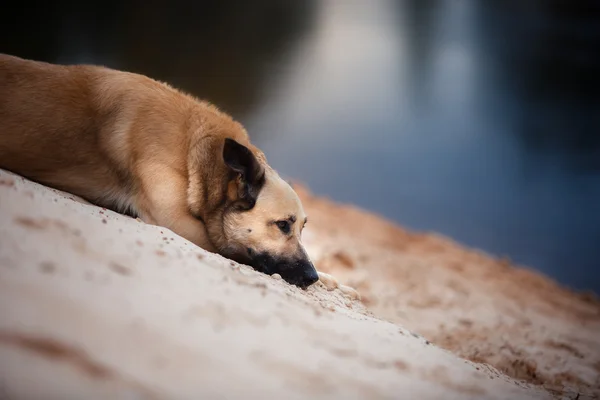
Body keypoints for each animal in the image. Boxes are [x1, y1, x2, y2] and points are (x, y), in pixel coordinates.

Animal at [0, 54, 322, 290]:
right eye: (283, 225)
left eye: (303, 227)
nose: (312, 277)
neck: (195, 152)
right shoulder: (176, 222)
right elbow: (231, 247)